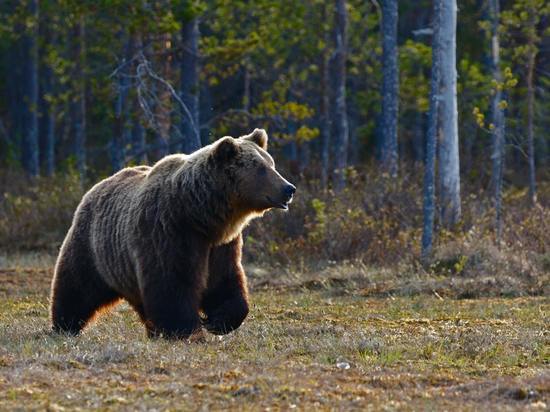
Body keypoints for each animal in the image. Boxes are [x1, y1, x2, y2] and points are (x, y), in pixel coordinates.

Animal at [49, 130, 296, 340]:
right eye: (261, 168)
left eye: (271, 163)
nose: (289, 188)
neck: (200, 216)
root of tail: (96, 187)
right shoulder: (169, 231)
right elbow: (172, 283)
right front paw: (187, 330)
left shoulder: (221, 245)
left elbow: (224, 281)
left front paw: (217, 321)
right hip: (93, 247)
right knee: (77, 286)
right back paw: (64, 325)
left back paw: (152, 331)